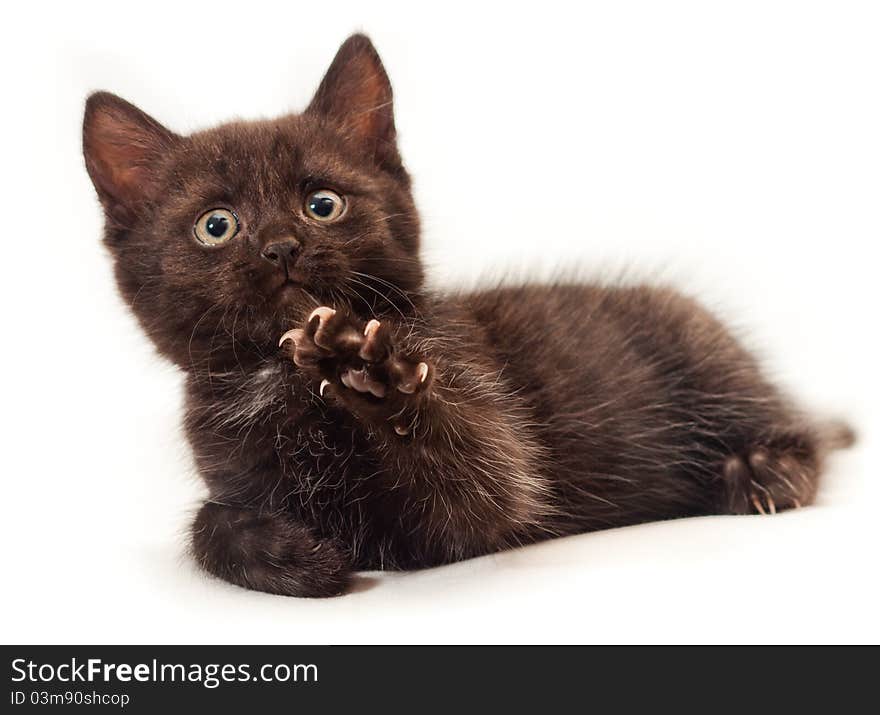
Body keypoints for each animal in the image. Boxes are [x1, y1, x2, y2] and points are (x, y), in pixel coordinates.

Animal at [81, 33, 852, 596]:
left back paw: (764, 470)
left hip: (704, 352)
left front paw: (369, 371)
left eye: (323, 203)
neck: (287, 376)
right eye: (216, 226)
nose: (281, 247)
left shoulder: (478, 488)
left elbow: (476, 474)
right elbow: (207, 523)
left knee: (795, 427)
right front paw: (290, 553)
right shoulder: (231, 460)